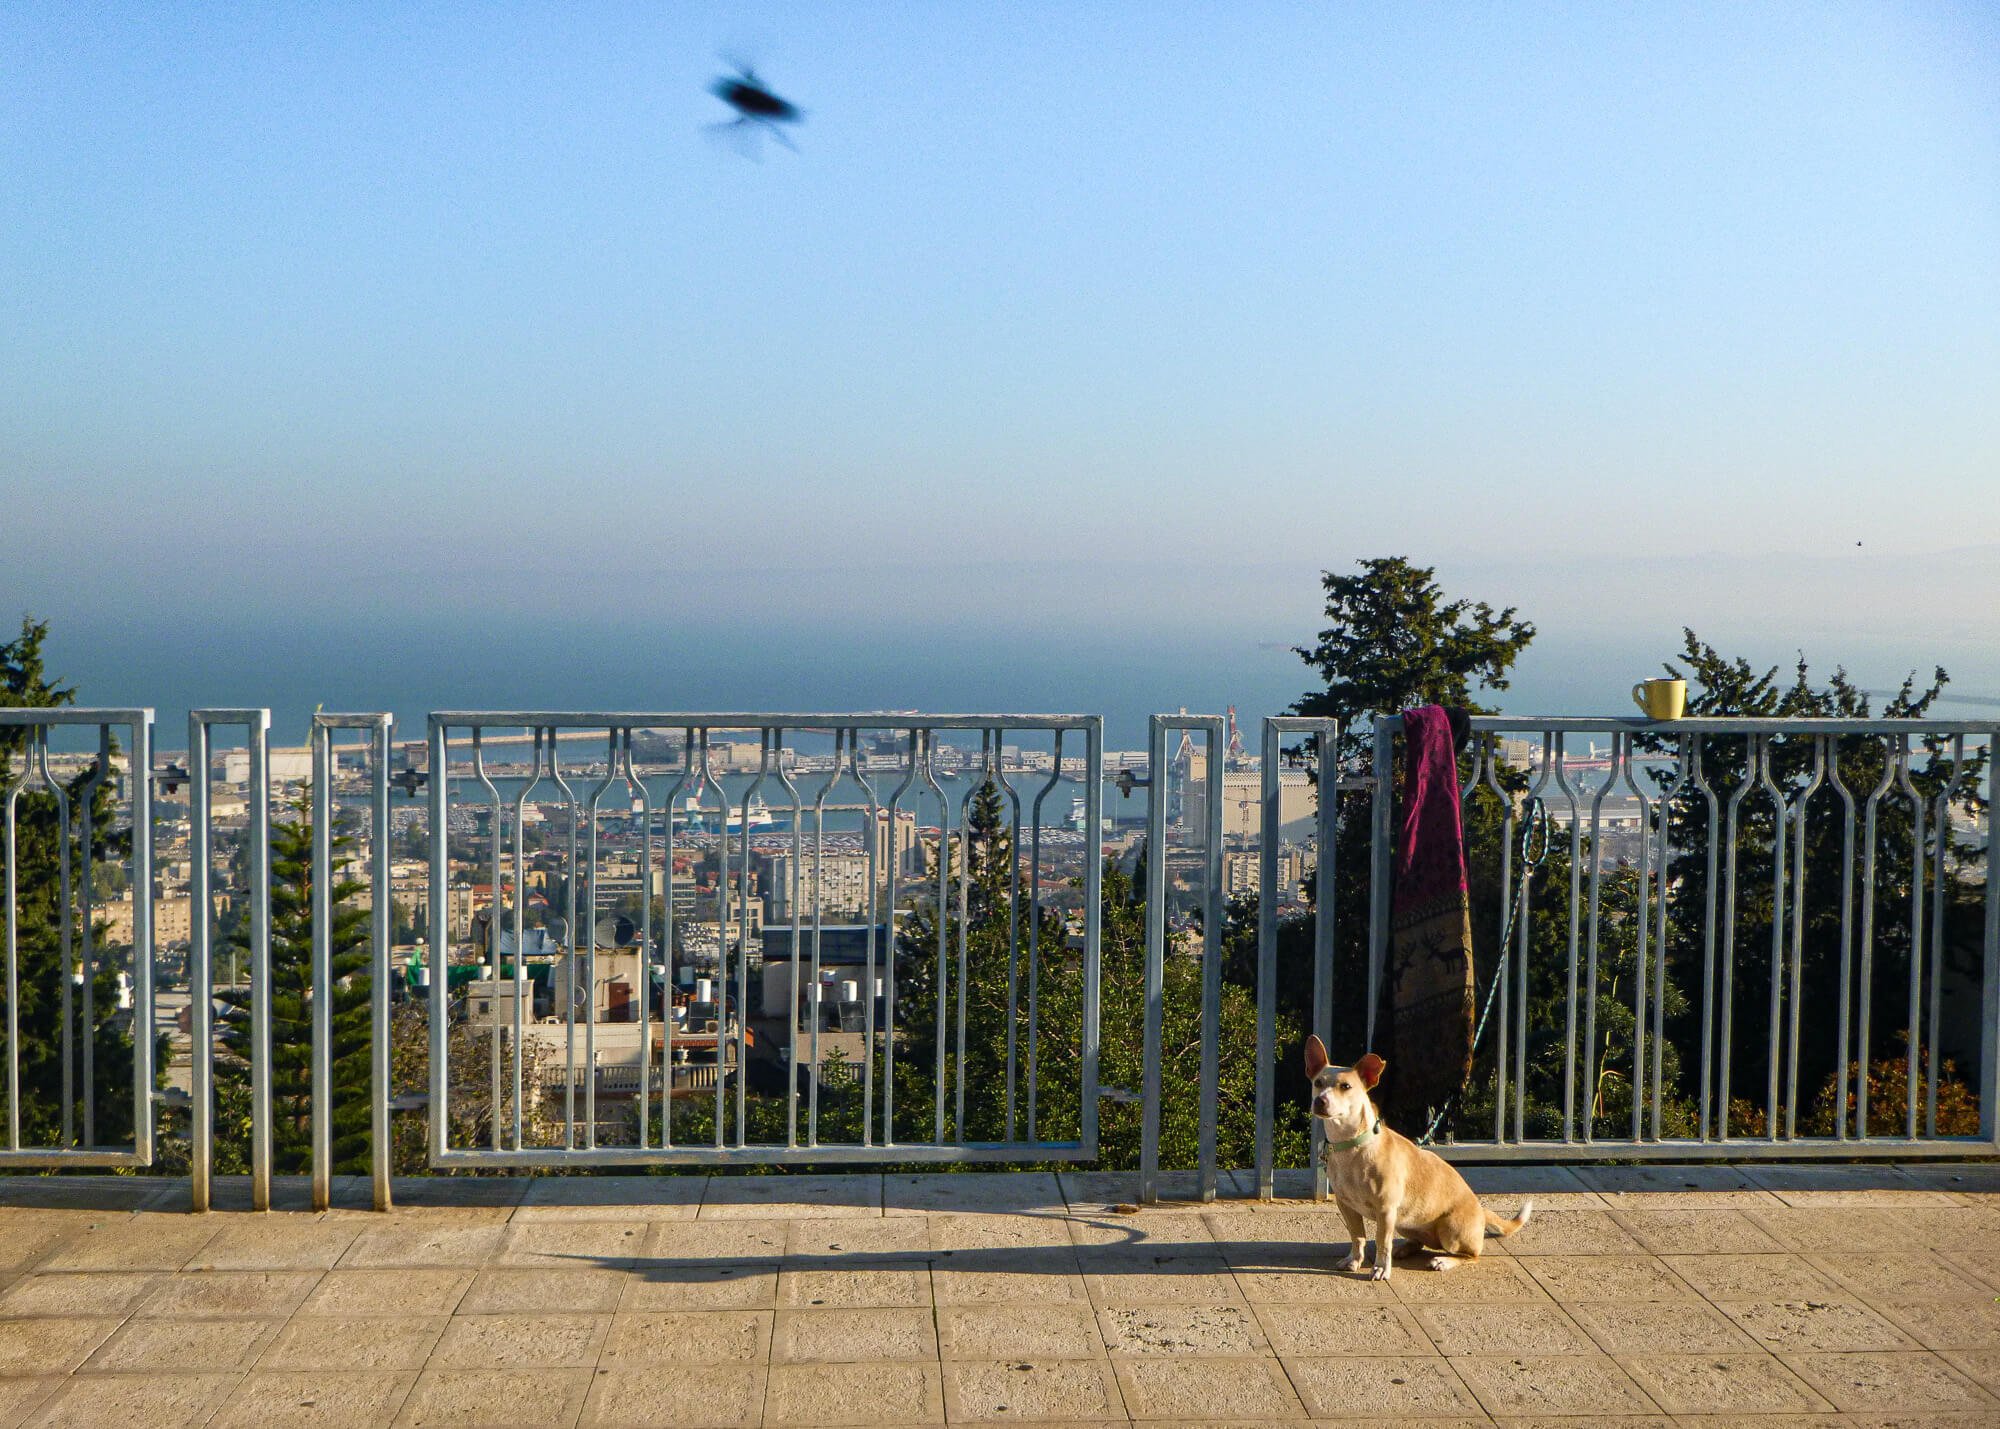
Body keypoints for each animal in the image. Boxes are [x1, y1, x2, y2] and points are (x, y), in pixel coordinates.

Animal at [1312, 1032, 1528, 1272]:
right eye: (1318, 1082)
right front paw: (1354, 1260)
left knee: (1471, 1254)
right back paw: (1404, 1249)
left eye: (1346, 1086)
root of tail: (1481, 1211)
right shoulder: (1346, 1205)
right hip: (1404, 1221)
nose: (1320, 1100)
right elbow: (1357, 1235)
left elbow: (1382, 1241)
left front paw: (1381, 1268)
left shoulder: (1386, 1209)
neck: (1352, 1145)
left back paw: (1443, 1260)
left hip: (1448, 1229)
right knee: (1418, 1242)